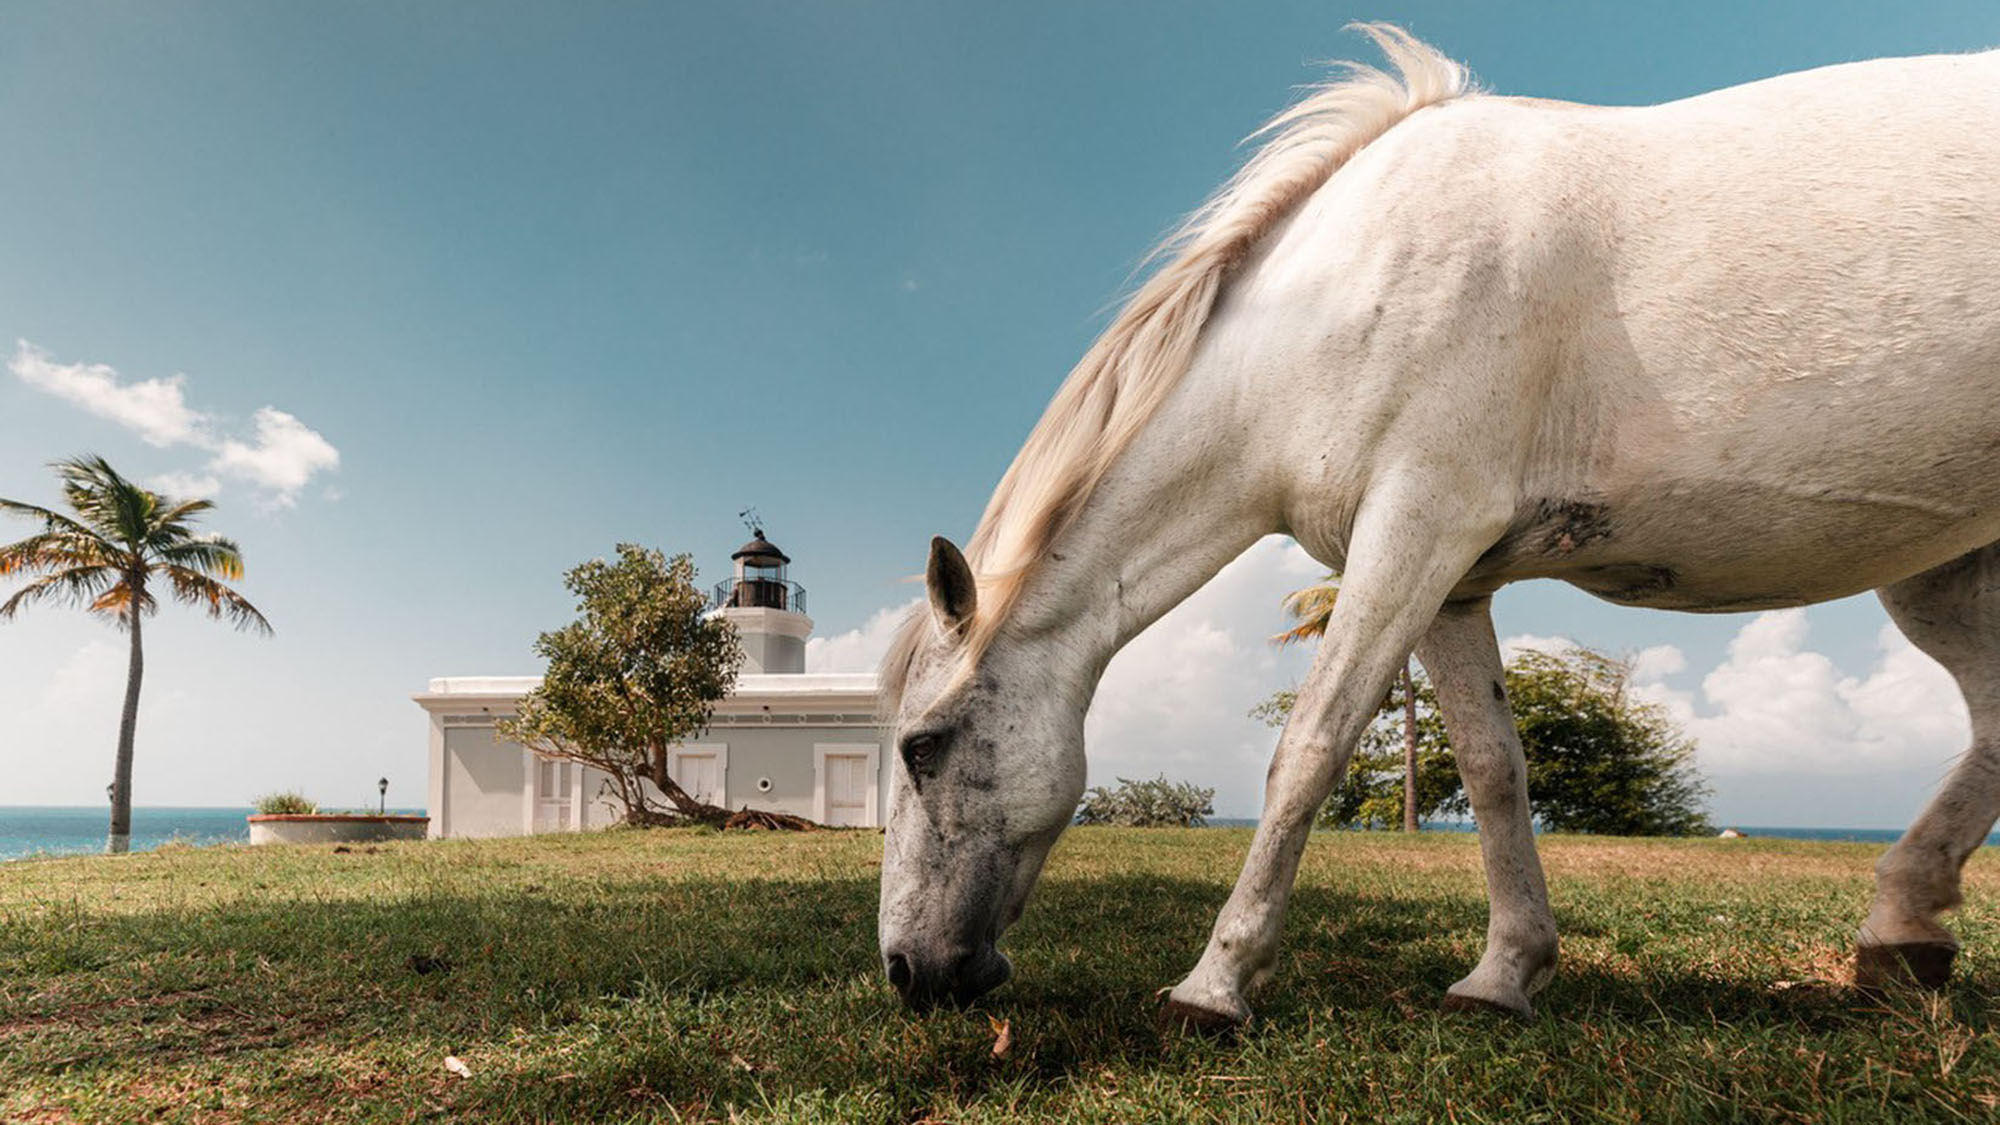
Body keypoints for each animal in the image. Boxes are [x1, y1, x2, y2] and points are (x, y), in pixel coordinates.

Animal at [877, 25, 2000, 1026]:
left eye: (921, 748)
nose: (906, 971)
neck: (1332, 301)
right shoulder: (1452, 581)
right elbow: (1495, 770)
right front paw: (1503, 974)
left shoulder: (1413, 529)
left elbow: (1309, 749)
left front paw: (1215, 984)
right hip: (1943, 580)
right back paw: (1902, 932)